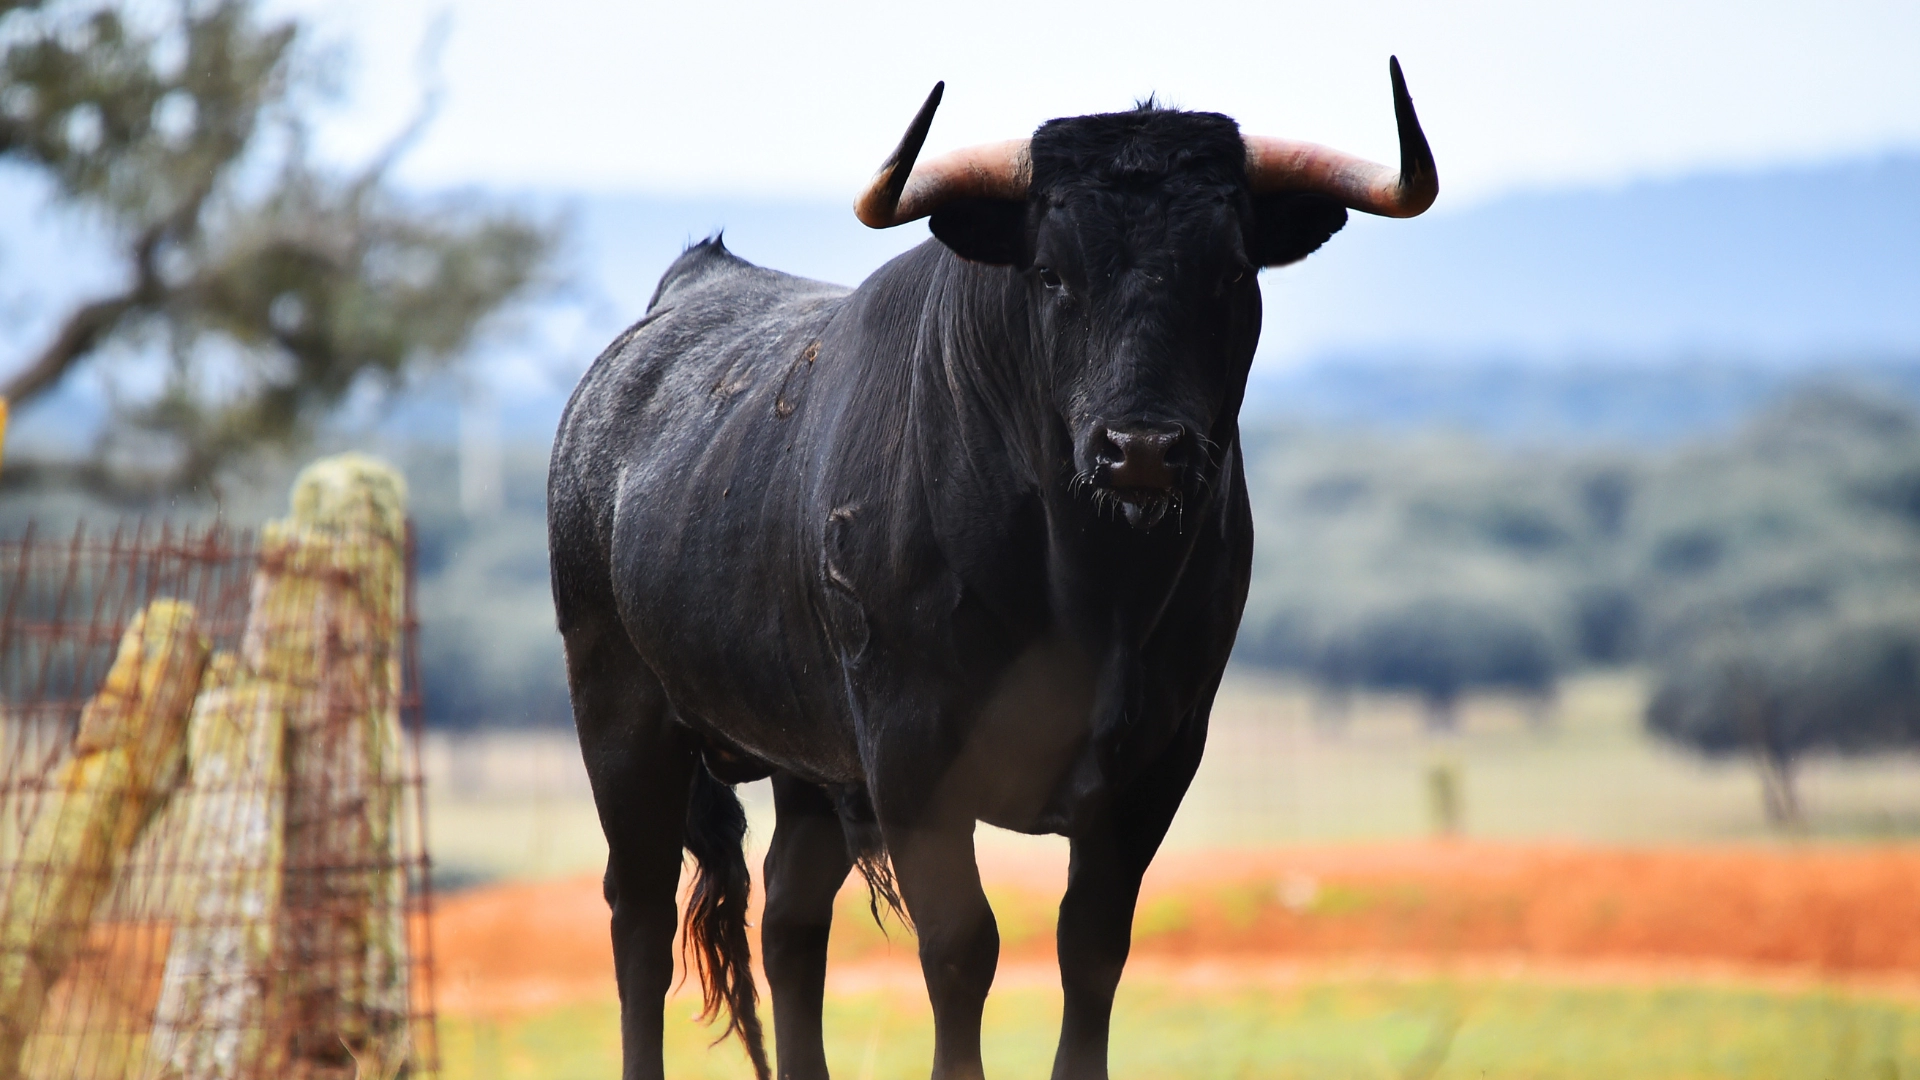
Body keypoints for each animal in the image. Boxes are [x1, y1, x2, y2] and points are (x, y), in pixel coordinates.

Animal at [549, 67, 1436, 1076]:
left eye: (1231, 271)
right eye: (1051, 272)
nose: (1142, 449)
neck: (1091, 594)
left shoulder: (1155, 762)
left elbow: (1092, 949)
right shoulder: (913, 757)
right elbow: (962, 947)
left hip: (807, 757)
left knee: (790, 920)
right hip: (620, 712)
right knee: (641, 915)